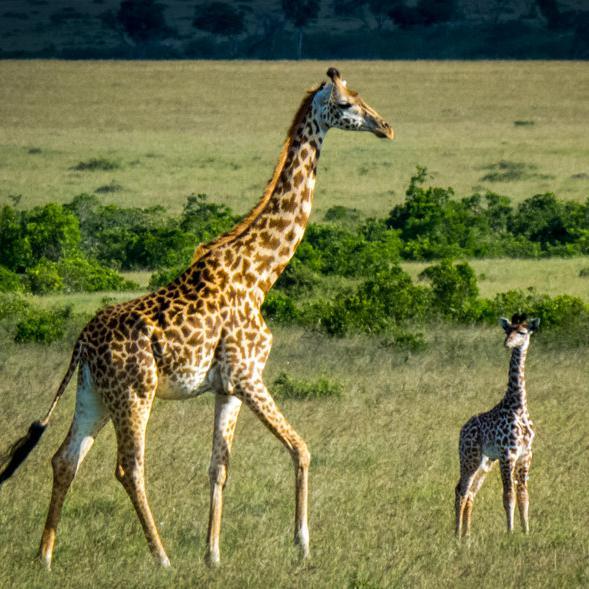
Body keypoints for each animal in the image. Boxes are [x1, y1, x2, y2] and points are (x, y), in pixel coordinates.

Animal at [1, 66, 396, 568]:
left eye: (362, 96)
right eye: (346, 104)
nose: (386, 127)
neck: (261, 273)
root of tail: (81, 343)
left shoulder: (227, 387)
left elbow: (218, 467)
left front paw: (213, 555)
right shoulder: (248, 375)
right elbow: (301, 448)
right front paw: (303, 545)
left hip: (93, 394)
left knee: (65, 459)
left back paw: (46, 557)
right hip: (134, 392)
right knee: (128, 467)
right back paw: (161, 558)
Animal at [454, 314, 536, 540]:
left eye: (522, 332)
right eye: (507, 330)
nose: (507, 343)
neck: (518, 406)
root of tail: (462, 429)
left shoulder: (525, 454)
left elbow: (523, 495)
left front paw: (526, 531)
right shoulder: (507, 454)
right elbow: (508, 495)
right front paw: (510, 532)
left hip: (485, 462)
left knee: (470, 493)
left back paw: (467, 536)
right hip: (470, 458)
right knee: (461, 490)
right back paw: (456, 534)